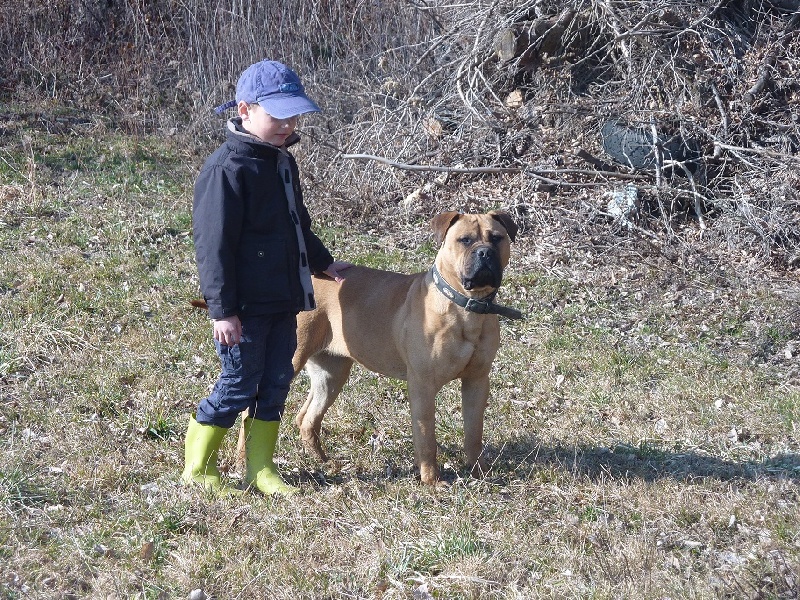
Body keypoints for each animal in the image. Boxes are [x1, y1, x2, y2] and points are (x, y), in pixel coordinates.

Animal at [292, 211, 520, 482]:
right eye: (465, 240)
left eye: (496, 238)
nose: (484, 252)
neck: (467, 307)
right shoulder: (422, 384)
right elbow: (426, 437)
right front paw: (432, 481)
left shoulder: (477, 380)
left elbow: (474, 433)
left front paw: (480, 473)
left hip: (331, 373)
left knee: (307, 418)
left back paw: (323, 462)